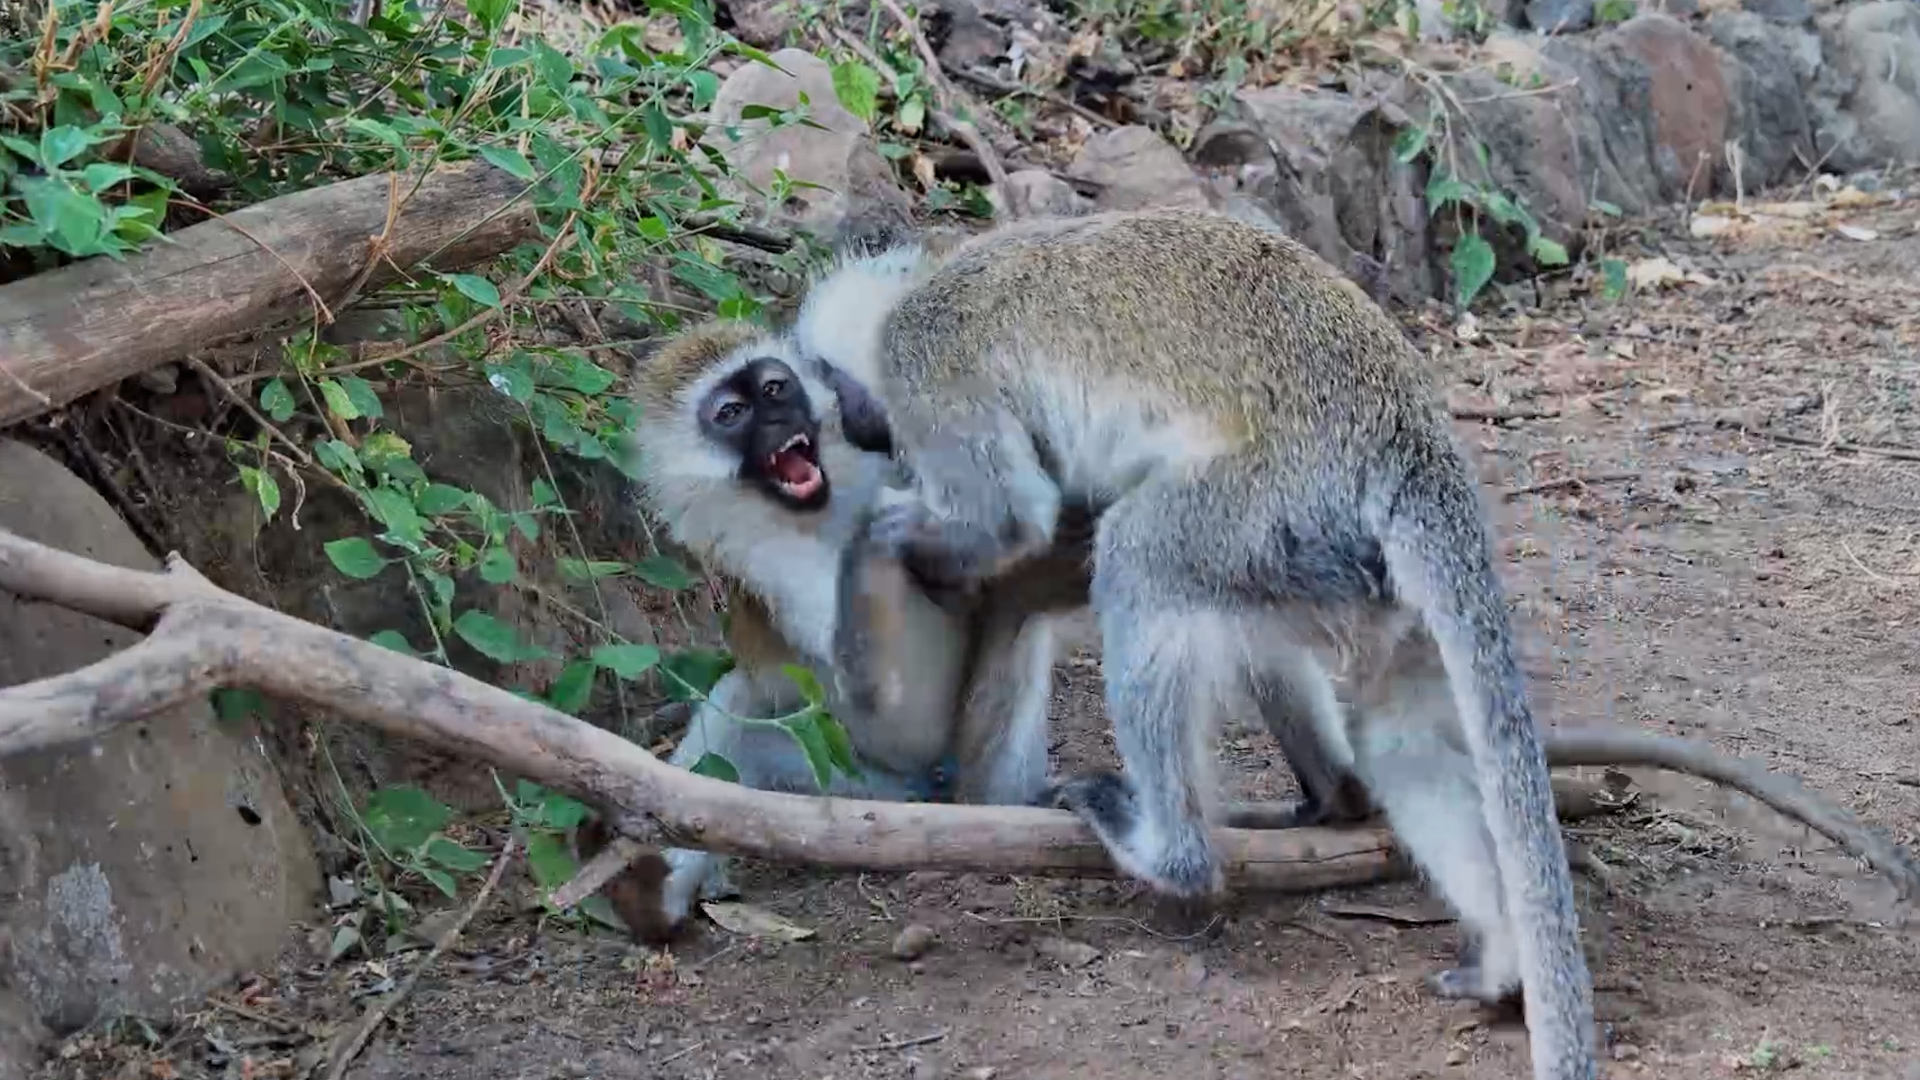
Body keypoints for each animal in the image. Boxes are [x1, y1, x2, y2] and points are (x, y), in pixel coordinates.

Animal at [814, 207, 1599, 1080]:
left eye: (834, 388)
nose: (858, 426)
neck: (938, 269)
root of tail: (1411, 436)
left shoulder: (928, 360)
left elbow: (1011, 517)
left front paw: (896, 537)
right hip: (1346, 565)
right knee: (1394, 734)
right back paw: (1479, 939)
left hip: (1274, 502)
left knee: (1137, 556)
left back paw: (1170, 853)